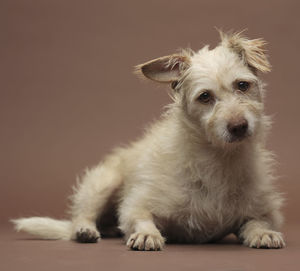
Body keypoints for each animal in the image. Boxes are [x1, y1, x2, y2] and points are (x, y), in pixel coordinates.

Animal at [12, 31, 286, 251]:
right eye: (205, 97)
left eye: (243, 85)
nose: (239, 126)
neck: (218, 158)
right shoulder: (136, 204)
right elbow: (140, 218)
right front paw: (146, 234)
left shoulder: (263, 210)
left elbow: (256, 221)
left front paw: (263, 233)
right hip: (104, 181)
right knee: (83, 215)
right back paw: (86, 230)